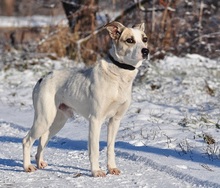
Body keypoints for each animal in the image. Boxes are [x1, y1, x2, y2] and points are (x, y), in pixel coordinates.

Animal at [22, 21, 149, 177]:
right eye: (130, 40)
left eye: (145, 39)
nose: (146, 51)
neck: (119, 76)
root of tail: (42, 78)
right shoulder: (95, 120)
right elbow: (94, 149)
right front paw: (96, 171)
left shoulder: (115, 121)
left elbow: (110, 148)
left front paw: (111, 168)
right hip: (44, 118)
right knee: (27, 140)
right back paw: (27, 166)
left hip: (57, 121)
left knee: (43, 139)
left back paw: (39, 162)